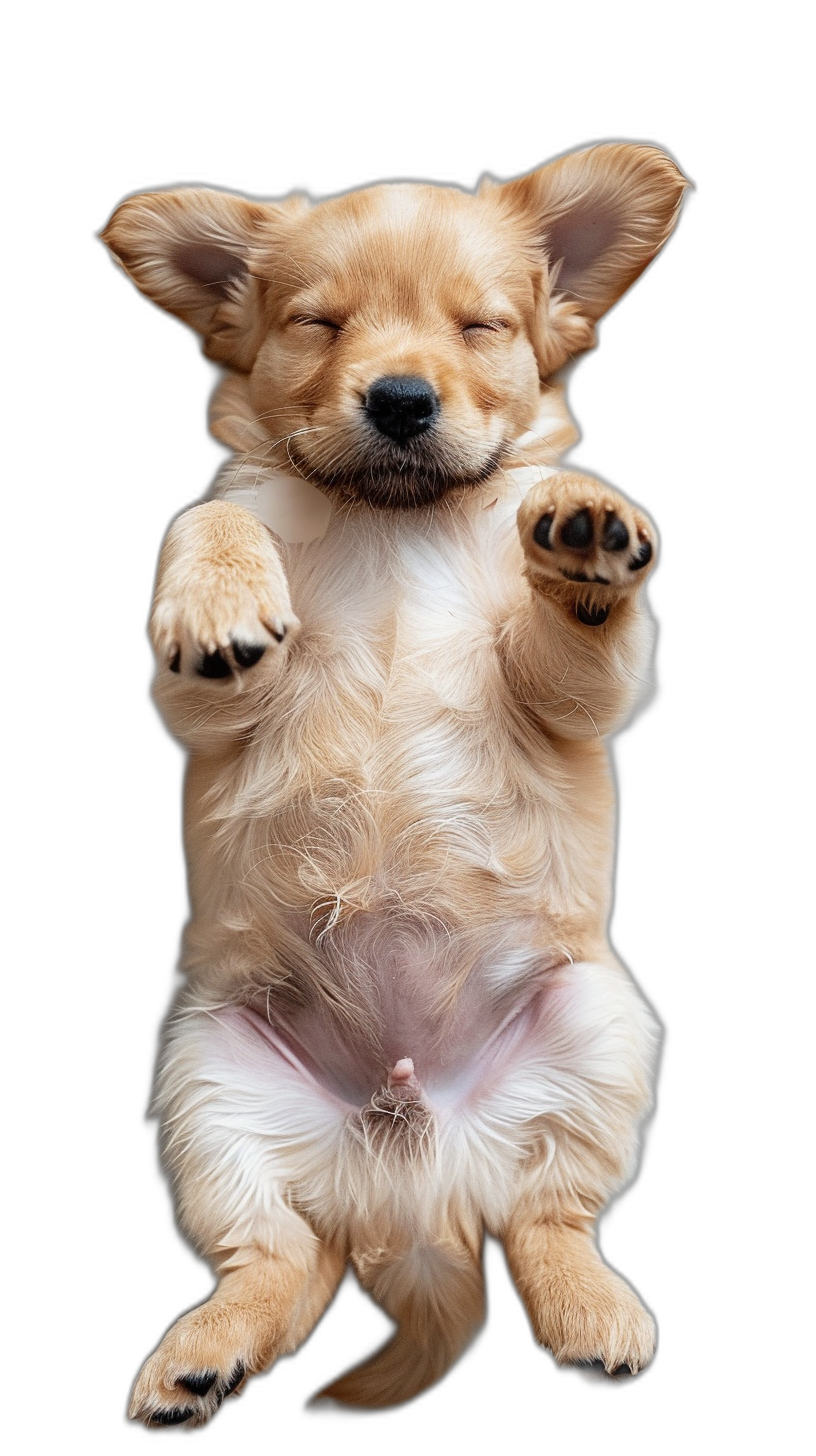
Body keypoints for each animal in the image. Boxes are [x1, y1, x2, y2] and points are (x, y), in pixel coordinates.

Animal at [100, 144, 687, 1421]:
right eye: (318, 325)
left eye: (481, 327)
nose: (401, 400)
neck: (396, 526)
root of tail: (410, 1189)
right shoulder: (201, 706)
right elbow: (209, 513)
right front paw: (218, 597)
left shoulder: (575, 696)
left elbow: (578, 646)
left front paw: (584, 533)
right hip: (209, 1087)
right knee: (278, 1259)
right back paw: (202, 1354)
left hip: (599, 1028)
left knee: (547, 1220)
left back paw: (593, 1312)